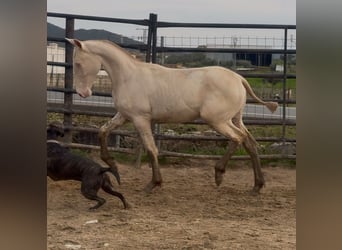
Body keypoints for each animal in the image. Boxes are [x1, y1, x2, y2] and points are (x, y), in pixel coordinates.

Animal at [67, 38, 278, 192]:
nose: (83, 93)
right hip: (234, 119)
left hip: (217, 120)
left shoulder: (140, 119)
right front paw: (112, 164)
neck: (128, 76)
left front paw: (153, 184)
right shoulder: (124, 116)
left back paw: (219, 174)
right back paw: (257, 185)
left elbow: (151, 148)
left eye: (78, 63)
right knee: (249, 142)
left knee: (238, 138)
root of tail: (239, 78)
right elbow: (102, 132)